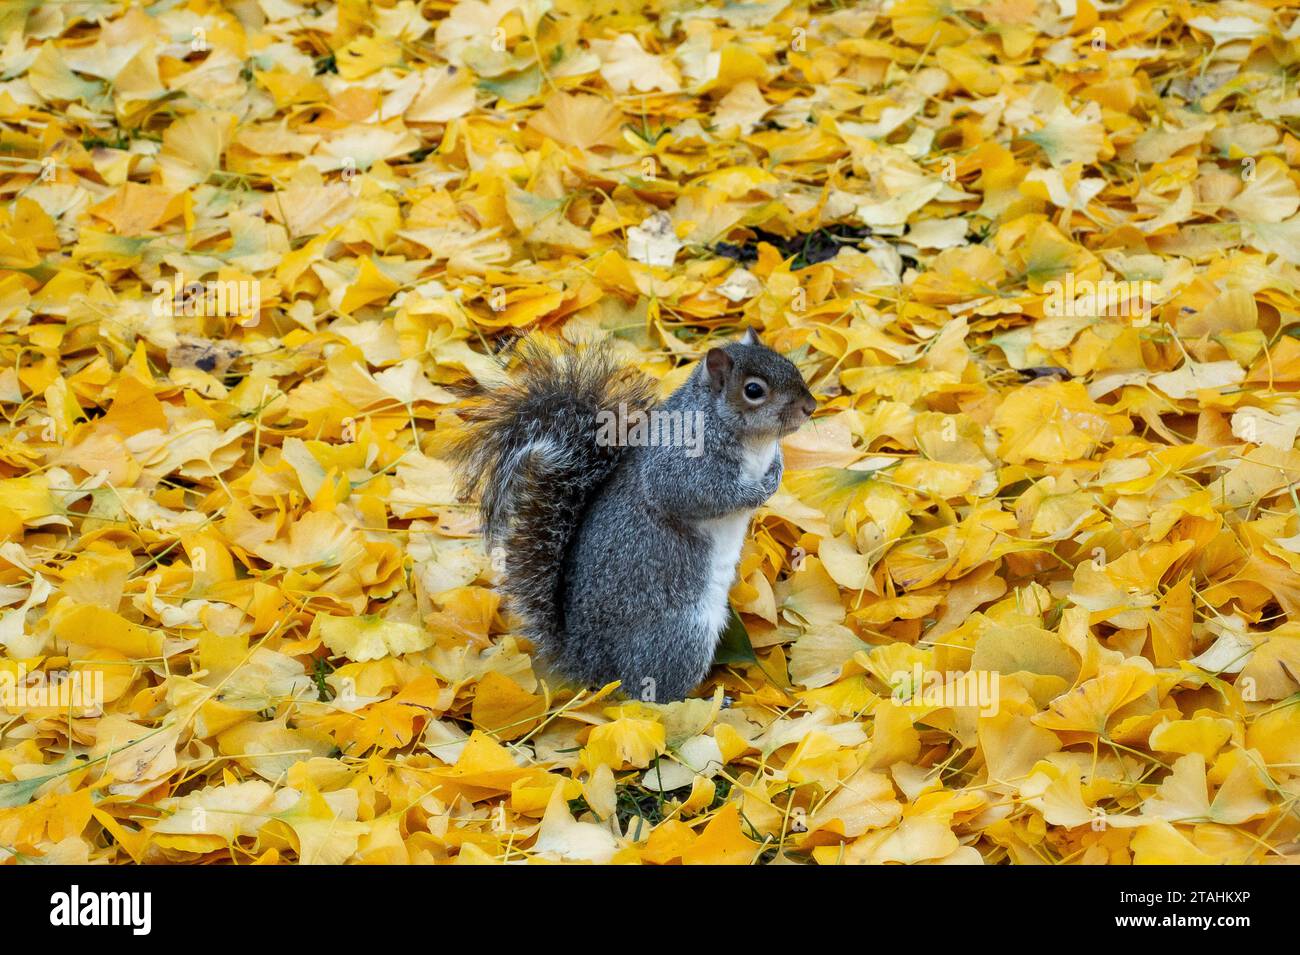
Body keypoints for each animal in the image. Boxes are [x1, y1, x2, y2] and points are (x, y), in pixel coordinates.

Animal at [454, 330, 811, 701]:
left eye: (788, 363)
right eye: (753, 390)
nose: (810, 407)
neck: (755, 443)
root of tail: (589, 663)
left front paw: (776, 472)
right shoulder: (681, 463)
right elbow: (700, 494)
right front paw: (757, 492)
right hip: (681, 633)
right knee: (652, 692)